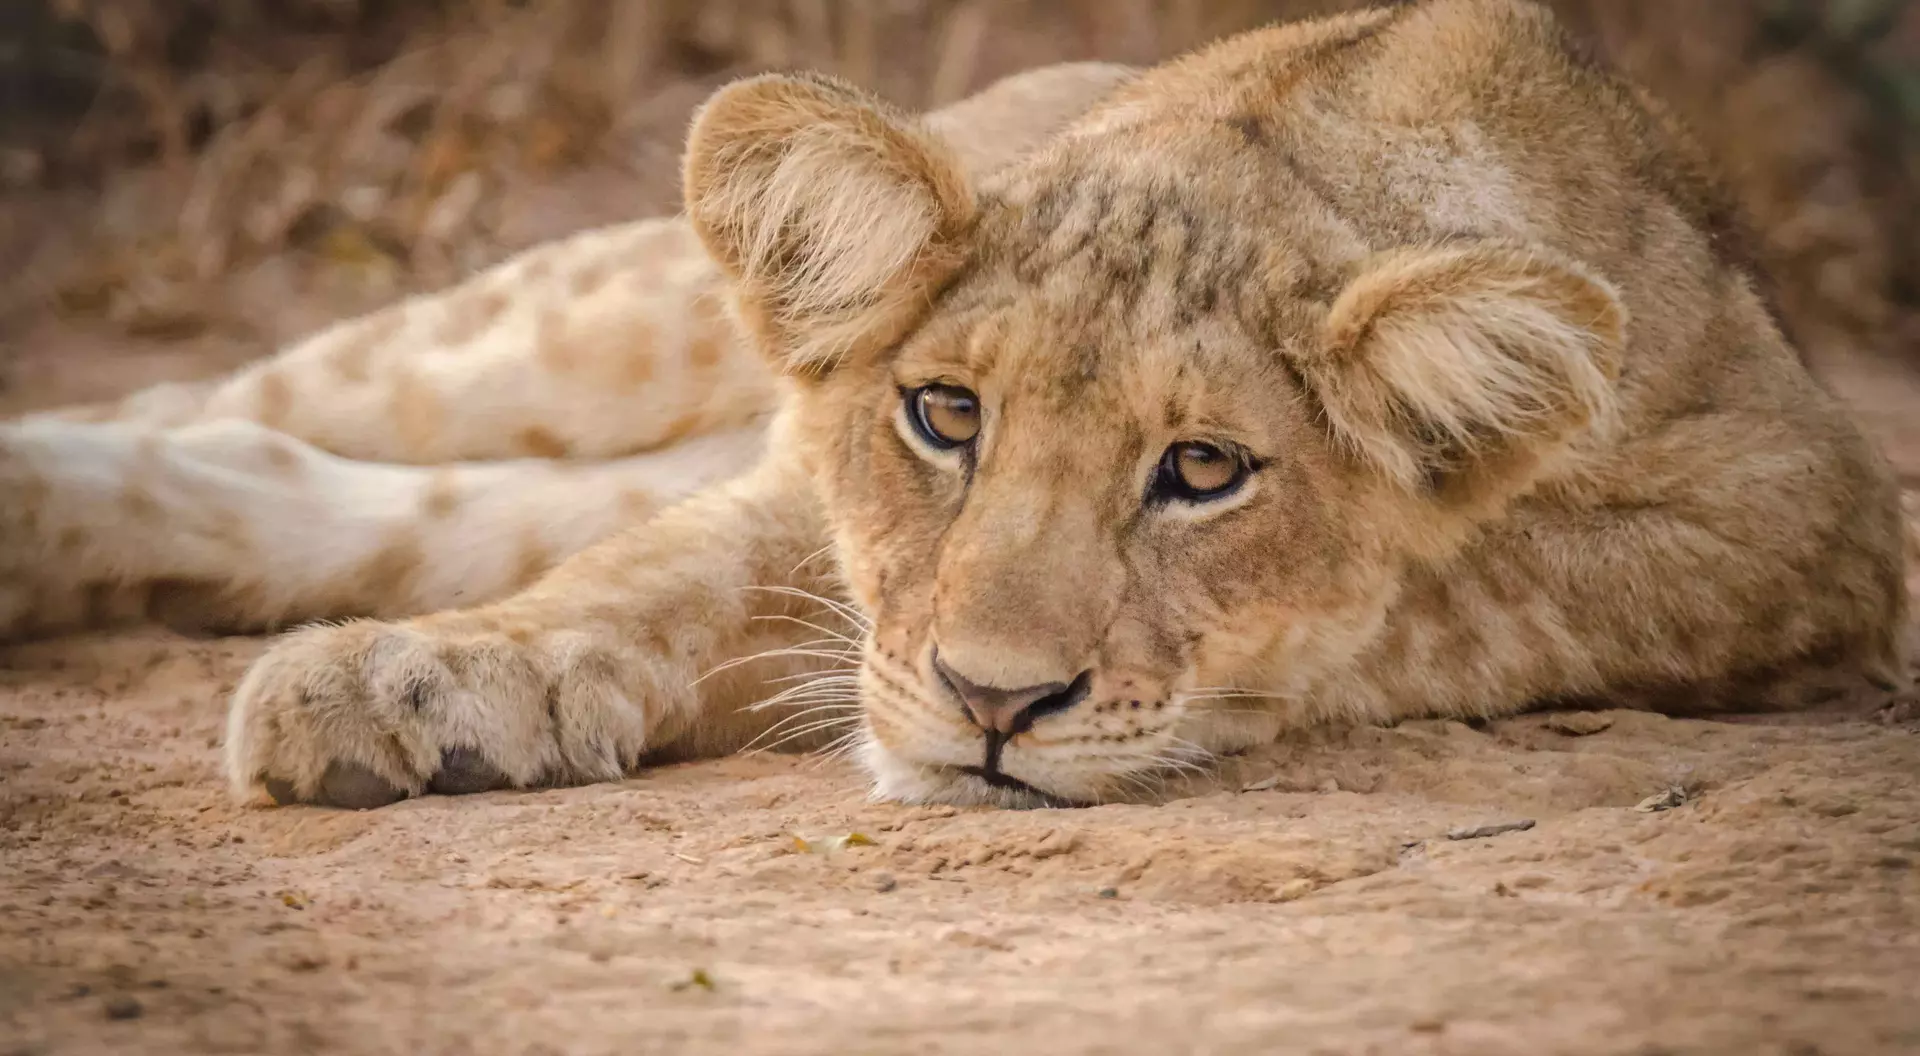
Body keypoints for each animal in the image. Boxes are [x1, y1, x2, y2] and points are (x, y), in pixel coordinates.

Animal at [6, 0, 1910, 810]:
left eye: (1203, 470)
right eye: (943, 417)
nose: (996, 708)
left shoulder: (1802, 519)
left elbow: (1452, 590)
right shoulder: (808, 473)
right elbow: (684, 567)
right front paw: (439, 686)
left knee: (346, 487)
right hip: (598, 316)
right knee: (267, 396)